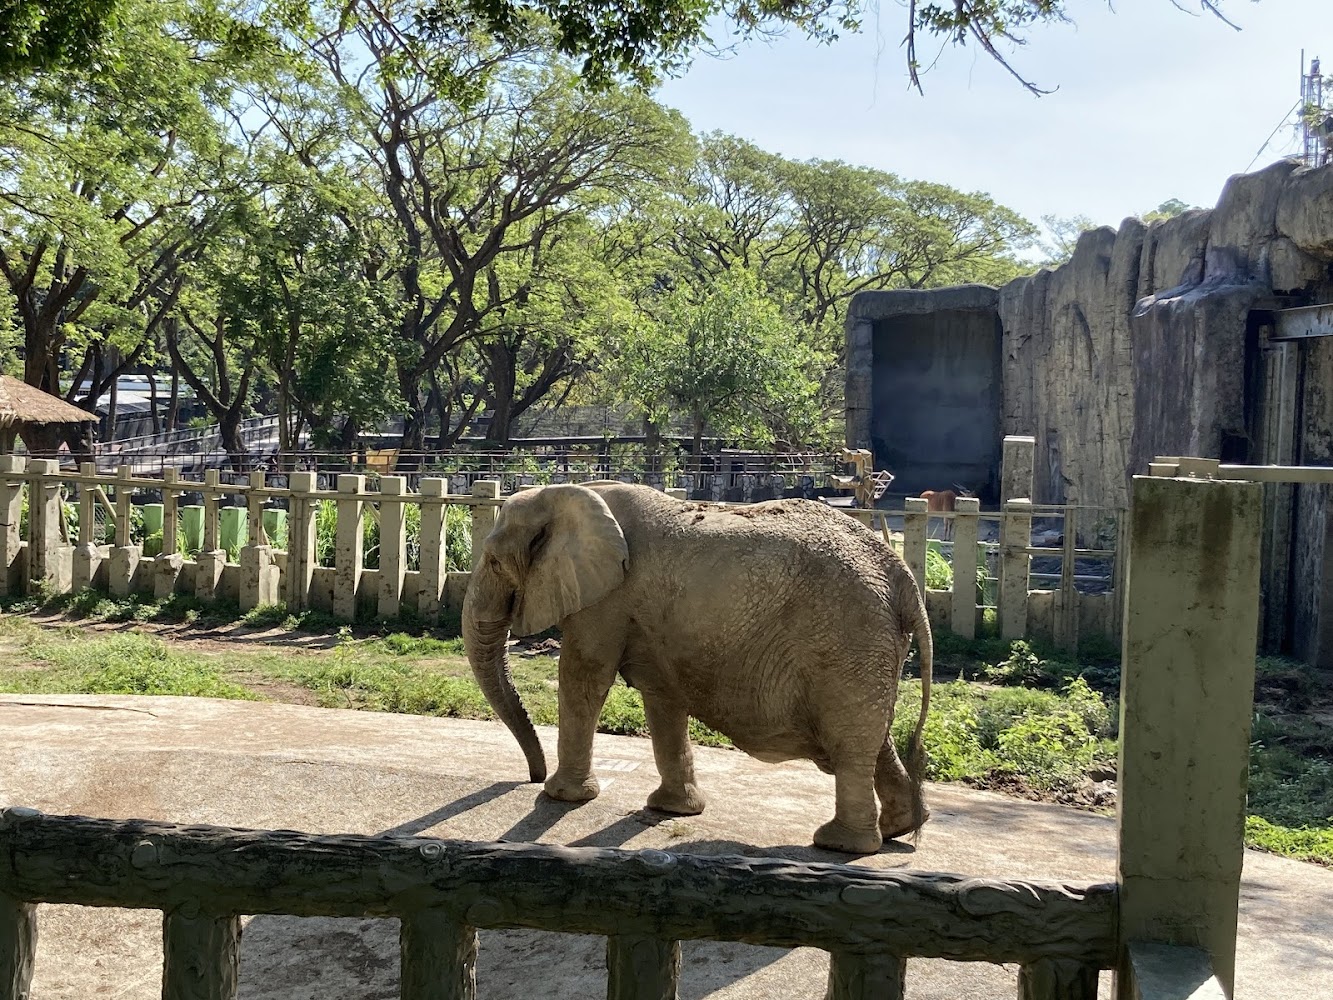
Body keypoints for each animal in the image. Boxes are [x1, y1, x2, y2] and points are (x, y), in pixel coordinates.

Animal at [462, 481, 934, 854]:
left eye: (494, 562)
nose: (529, 777)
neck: (565, 492)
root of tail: (902, 576)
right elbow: (662, 697)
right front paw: (671, 809)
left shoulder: (606, 598)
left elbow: (584, 677)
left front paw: (561, 797)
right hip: (869, 643)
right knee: (872, 735)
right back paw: (898, 828)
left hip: (847, 636)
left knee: (849, 739)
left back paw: (839, 844)